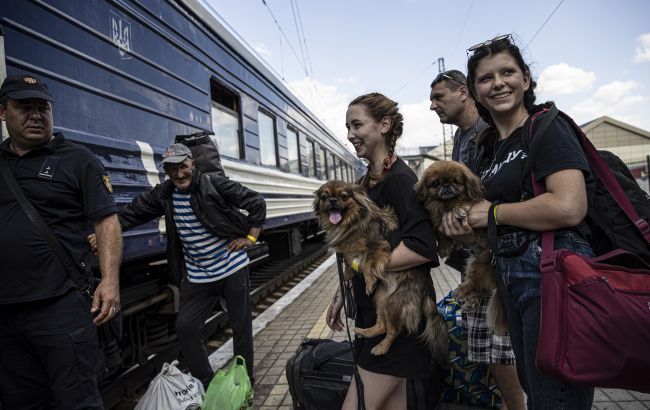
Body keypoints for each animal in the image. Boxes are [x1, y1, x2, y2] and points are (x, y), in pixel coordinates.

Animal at [312, 179, 446, 362]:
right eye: (324, 197)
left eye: (343, 196)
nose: (332, 200)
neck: (351, 222)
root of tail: (424, 292)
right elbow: (349, 261)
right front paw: (347, 273)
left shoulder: (378, 246)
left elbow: (368, 263)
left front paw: (368, 281)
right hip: (381, 298)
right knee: (382, 325)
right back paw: (366, 332)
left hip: (393, 304)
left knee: (394, 330)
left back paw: (381, 348)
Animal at [416, 160, 506, 334]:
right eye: (435, 183)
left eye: (455, 182)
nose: (446, 186)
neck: (445, 203)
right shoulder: (437, 220)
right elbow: (441, 233)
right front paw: (444, 248)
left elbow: (465, 203)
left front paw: (459, 209)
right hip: (474, 264)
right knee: (479, 287)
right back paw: (465, 293)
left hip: (480, 264)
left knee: (483, 289)